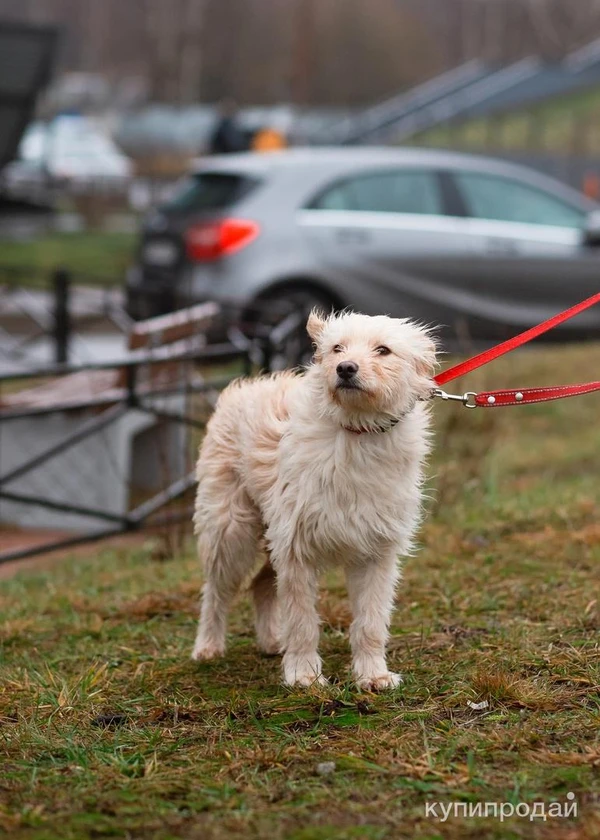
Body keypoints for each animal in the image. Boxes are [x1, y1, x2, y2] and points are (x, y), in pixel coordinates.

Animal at [192, 310, 436, 688]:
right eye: (337, 348)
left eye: (383, 350)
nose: (346, 368)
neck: (356, 431)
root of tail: (246, 386)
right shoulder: (295, 548)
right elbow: (302, 620)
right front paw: (304, 675)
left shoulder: (377, 552)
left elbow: (371, 621)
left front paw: (372, 674)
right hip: (230, 532)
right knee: (216, 592)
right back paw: (208, 645)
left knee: (261, 585)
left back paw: (272, 641)